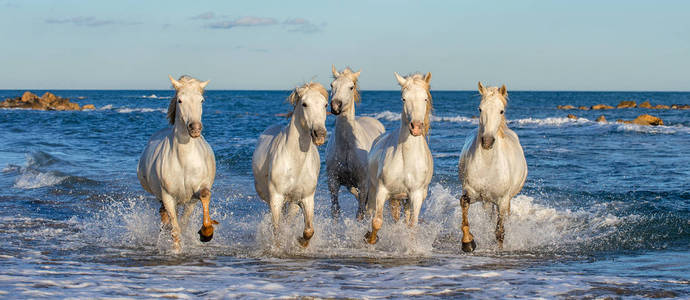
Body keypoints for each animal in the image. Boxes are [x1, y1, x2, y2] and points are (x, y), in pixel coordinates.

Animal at [136, 75, 216, 253]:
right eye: (180, 100)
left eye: (201, 100)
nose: (195, 128)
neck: (184, 161)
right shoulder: (168, 197)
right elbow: (175, 228)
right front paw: (176, 251)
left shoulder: (194, 195)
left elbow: (202, 200)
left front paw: (206, 233)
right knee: (165, 216)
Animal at [253, 81, 328, 246]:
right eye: (304, 104)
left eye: (325, 105)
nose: (319, 134)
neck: (295, 162)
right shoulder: (276, 197)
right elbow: (277, 230)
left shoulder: (306, 198)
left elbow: (309, 230)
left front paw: (301, 242)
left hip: (293, 202)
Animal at [326, 65, 384, 219]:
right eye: (332, 85)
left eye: (351, 87)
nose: (335, 106)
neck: (347, 148)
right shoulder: (333, 182)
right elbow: (335, 210)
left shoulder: (363, 183)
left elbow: (360, 213)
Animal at [362, 72, 432, 244]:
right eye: (404, 98)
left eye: (425, 98)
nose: (416, 127)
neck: (406, 158)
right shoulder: (382, 190)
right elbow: (377, 221)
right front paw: (371, 239)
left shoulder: (416, 195)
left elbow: (412, 225)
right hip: (373, 190)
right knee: (370, 212)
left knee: (406, 217)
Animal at [456, 81, 528, 251]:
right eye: (480, 109)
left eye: (501, 111)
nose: (487, 142)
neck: (488, 164)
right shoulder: (471, 192)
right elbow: (464, 205)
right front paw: (468, 242)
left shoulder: (502, 201)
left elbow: (500, 231)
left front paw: (499, 250)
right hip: (487, 201)